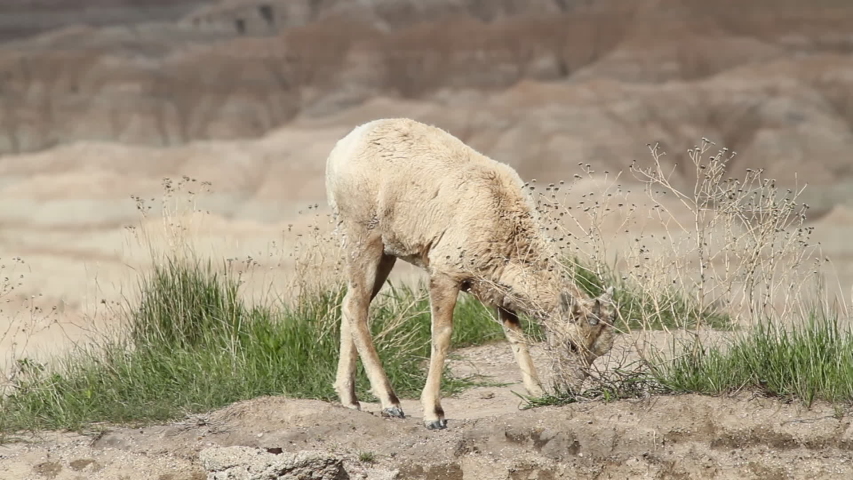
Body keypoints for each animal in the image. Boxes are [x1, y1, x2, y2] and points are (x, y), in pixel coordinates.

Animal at [325, 118, 617, 430]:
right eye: (572, 345)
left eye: (599, 352)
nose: (570, 391)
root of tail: (344, 146)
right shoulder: (445, 275)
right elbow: (441, 335)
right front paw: (435, 415)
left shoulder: (497, 291)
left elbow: (515, 335)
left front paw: (537, 394)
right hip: (365, 239)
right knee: (356, 308)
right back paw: (391, 404)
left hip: (385, 254)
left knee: (351, 303)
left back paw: (351, 400)